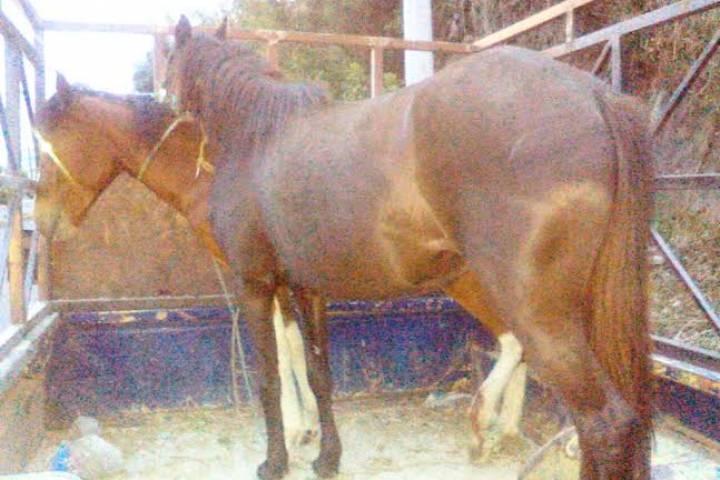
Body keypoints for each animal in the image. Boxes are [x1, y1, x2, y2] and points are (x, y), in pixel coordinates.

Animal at [164, 15, 654, 480]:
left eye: (168, 58)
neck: (258, 139)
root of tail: (592, 94)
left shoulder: (254, 284)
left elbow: (270, 378)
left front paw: (275, 462)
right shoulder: (307, 288)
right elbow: (319, 375)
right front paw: (327, 458)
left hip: (540, 316)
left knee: (603, 420)